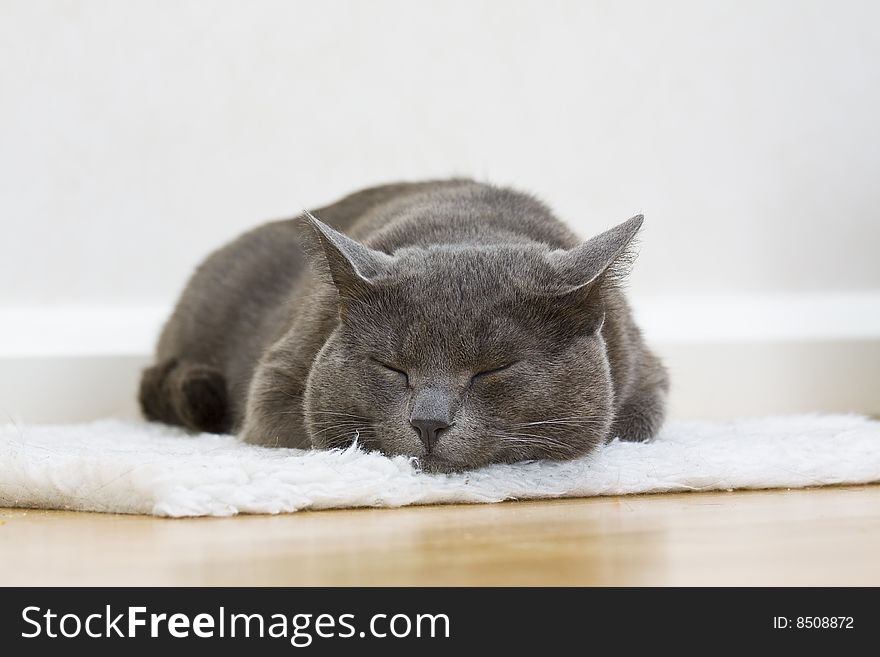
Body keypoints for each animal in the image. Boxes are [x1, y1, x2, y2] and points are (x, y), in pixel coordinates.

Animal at [139, 179, 668, 472]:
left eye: (493, 370)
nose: (428, 422)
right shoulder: (277, 382)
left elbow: (630, 426)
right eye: (392, 367)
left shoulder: (647, 381)